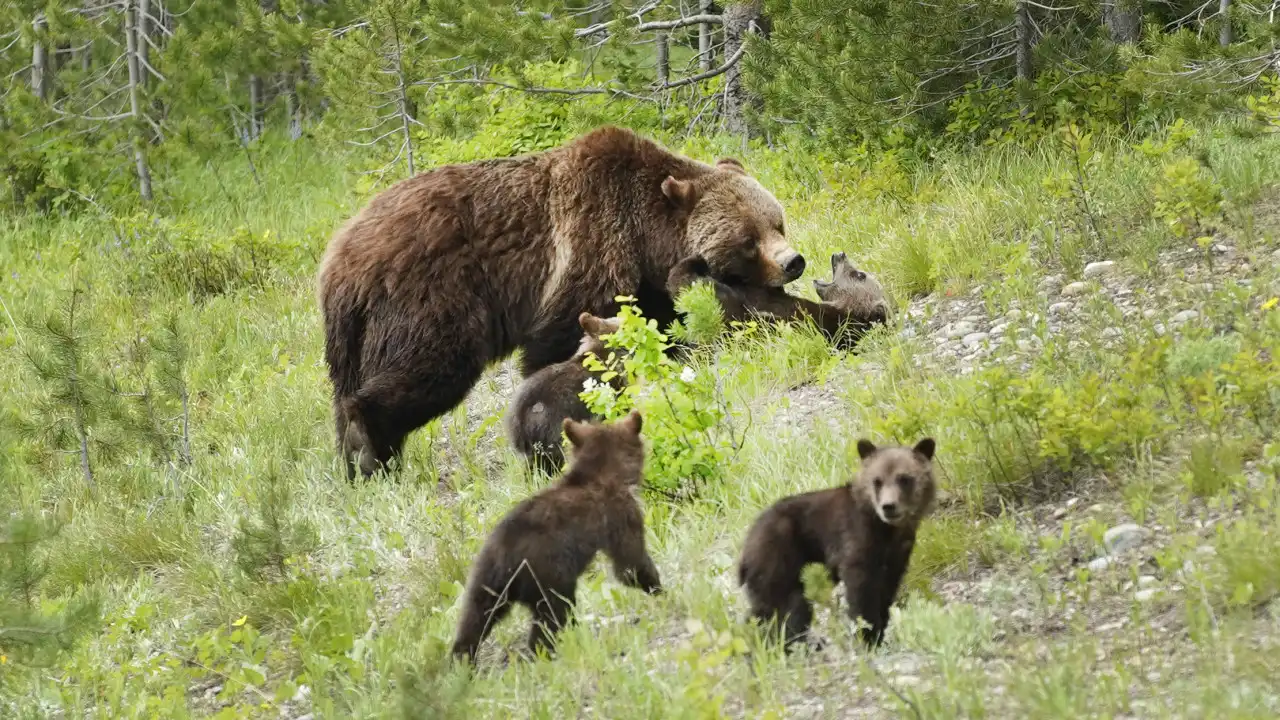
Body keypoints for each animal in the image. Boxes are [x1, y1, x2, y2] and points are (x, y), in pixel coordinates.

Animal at [317, 126, 798, 479]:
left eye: (777, 221)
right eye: (748, 240)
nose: (794, 262)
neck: (647, 235)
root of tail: (336, 264)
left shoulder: (647, 282)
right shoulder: (587, 252)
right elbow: (560, 338)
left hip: (355, 338)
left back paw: (355, 461)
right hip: (427, 298)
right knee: (427, 368)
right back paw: (371, 453)